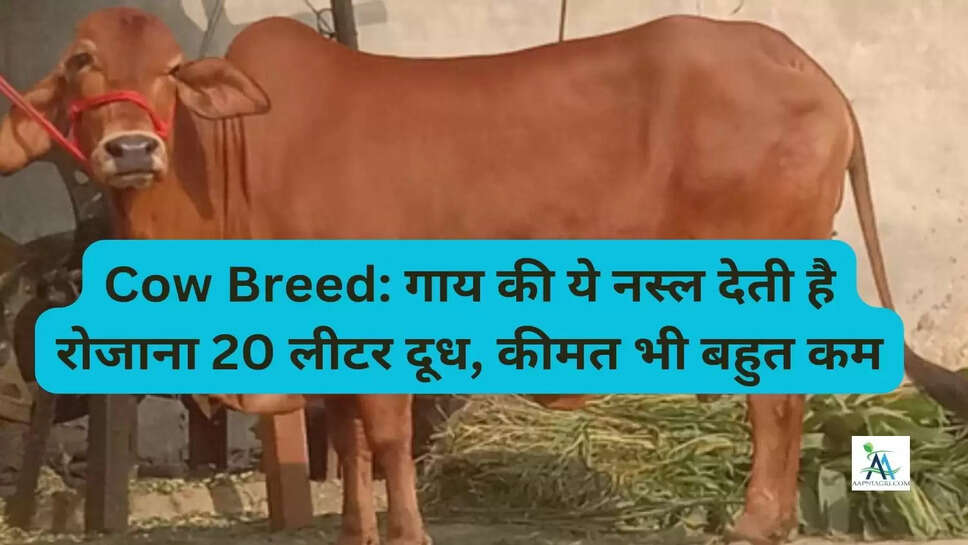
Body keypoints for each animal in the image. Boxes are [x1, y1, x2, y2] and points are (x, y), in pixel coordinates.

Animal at [2, 7, 967, 545]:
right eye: (82, 60)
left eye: (170, 71)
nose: (134, 149)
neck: (234, 163)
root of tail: (805, 67)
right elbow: (349, 438)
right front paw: (354, 530)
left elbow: (387, 436)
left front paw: (407, 532)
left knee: (778, 404)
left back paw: (756, 520)